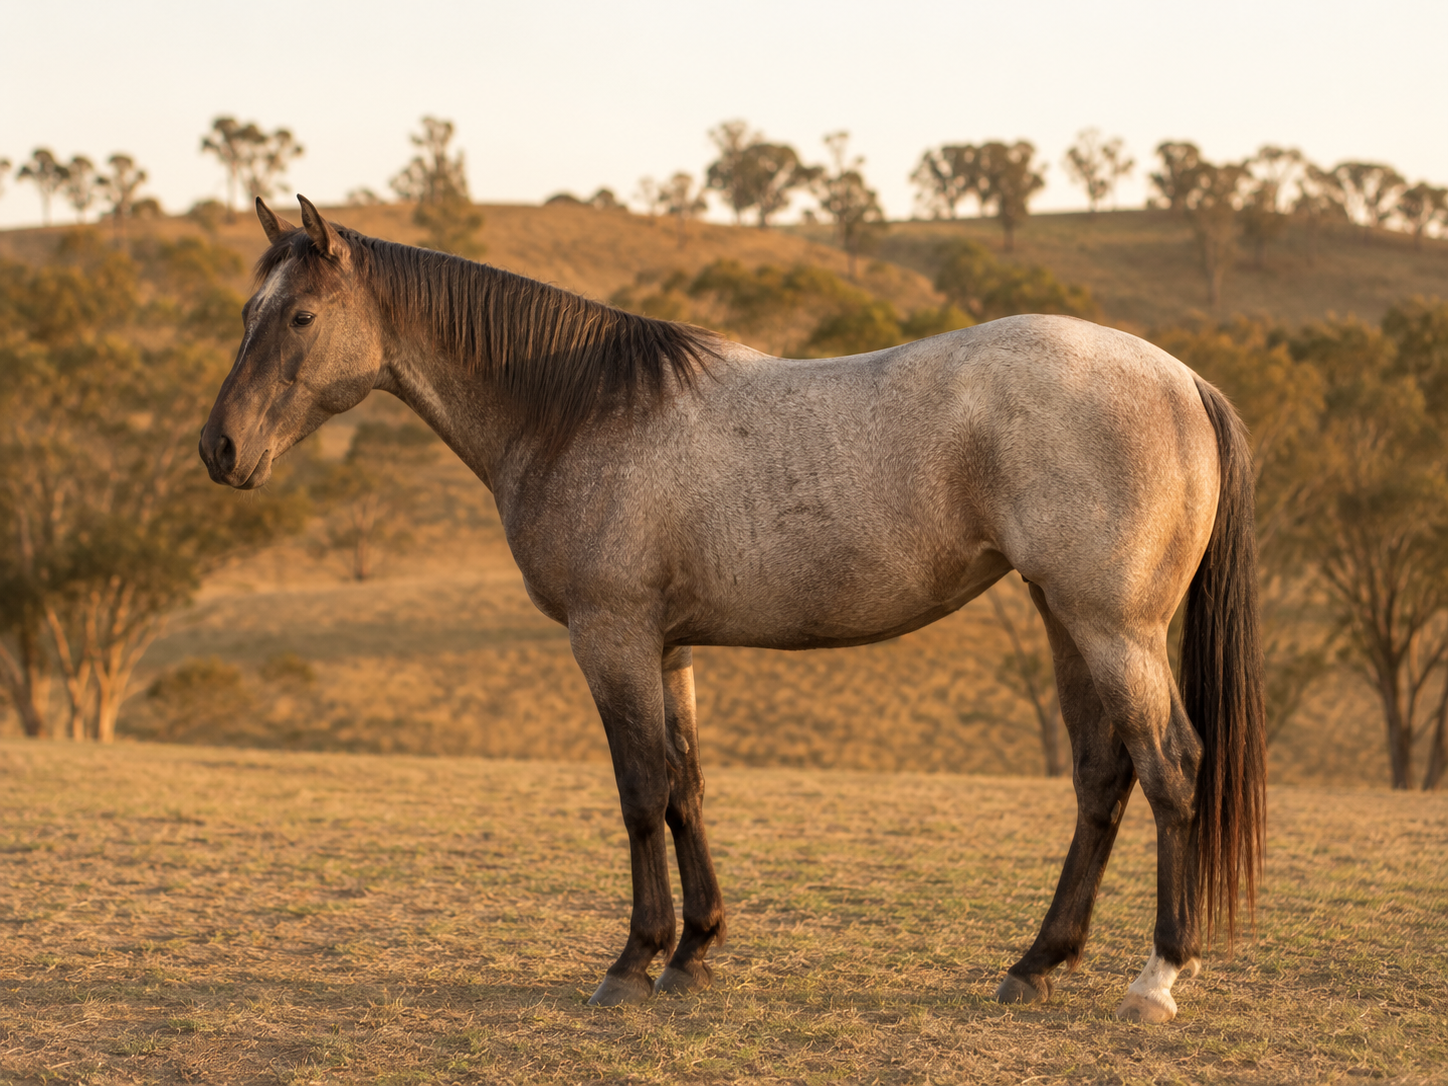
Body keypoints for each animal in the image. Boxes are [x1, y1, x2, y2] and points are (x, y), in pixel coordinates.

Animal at [200, 196, 1266, 1023]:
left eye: (299, 317)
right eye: (250, 310)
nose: (220, 448)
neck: (579, 411)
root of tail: (1181, 377)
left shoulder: (612, 638)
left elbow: (639, 792)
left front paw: (633, 963)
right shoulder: (668, 649)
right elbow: (686, 788)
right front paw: (695, 952)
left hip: (1113, 629)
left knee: (1171, 768)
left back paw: (1156, 979)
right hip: (1062, 618)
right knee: (1101, 777)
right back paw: (1037, 965)